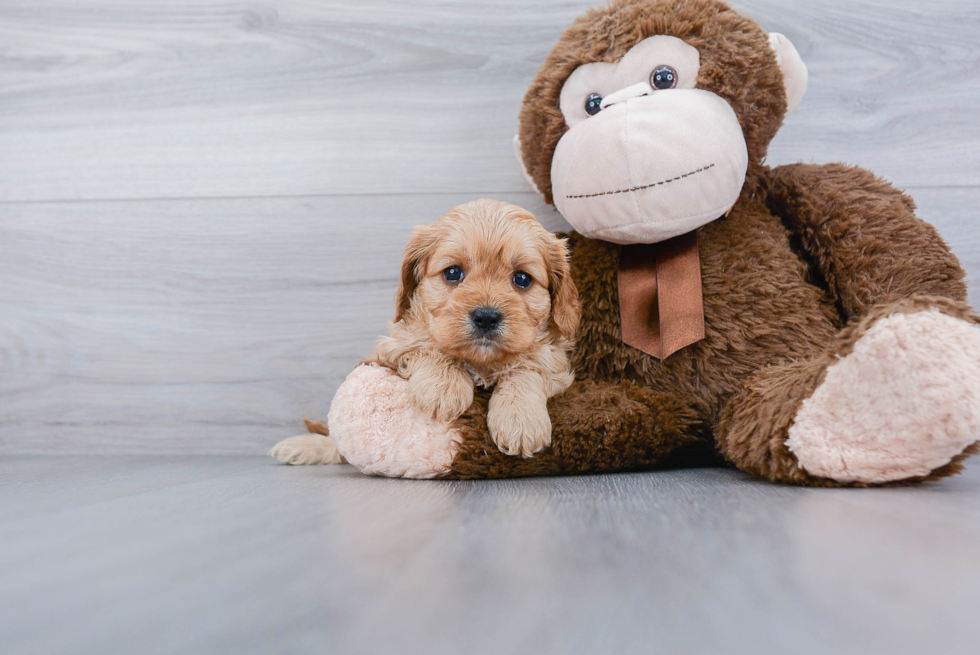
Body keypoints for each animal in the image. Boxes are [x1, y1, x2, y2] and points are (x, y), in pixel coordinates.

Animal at [368, 197, 580, 458]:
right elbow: (429, 346)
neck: (482, 363)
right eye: (453, 272)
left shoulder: (553, 361)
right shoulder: (394, 346)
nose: (486, 317)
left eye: (522, 278)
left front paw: (520, 419)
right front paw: (442, 387)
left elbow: (526, 368)